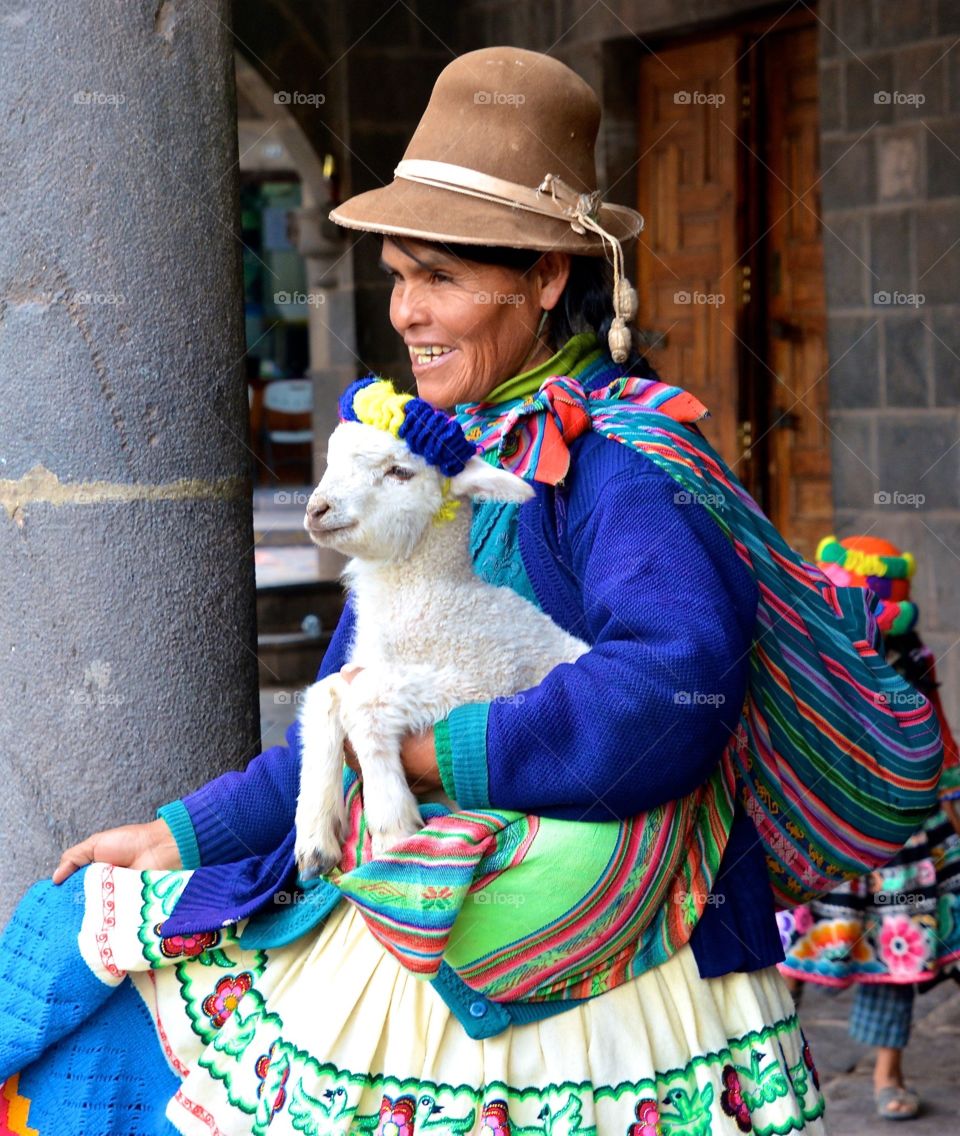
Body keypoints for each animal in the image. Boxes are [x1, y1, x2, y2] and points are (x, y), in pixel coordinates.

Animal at [295, 408, 586, 876]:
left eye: (399, 472)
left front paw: (393, 824)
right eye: (330, 460)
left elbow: (364, 700)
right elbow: (326, 691)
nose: (317, 509)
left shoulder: (486, 675)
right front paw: (314, 838)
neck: (435, 595)